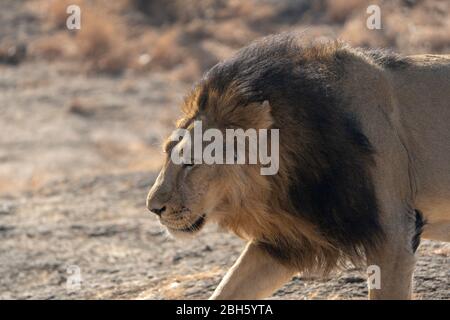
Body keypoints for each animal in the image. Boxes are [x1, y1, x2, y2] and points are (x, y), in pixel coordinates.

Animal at [147, 33, 450, 298]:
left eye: (192, 162)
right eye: (166, 154)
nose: (153, 208)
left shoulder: (394, 233)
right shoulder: (288, 240)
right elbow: (229, 287)